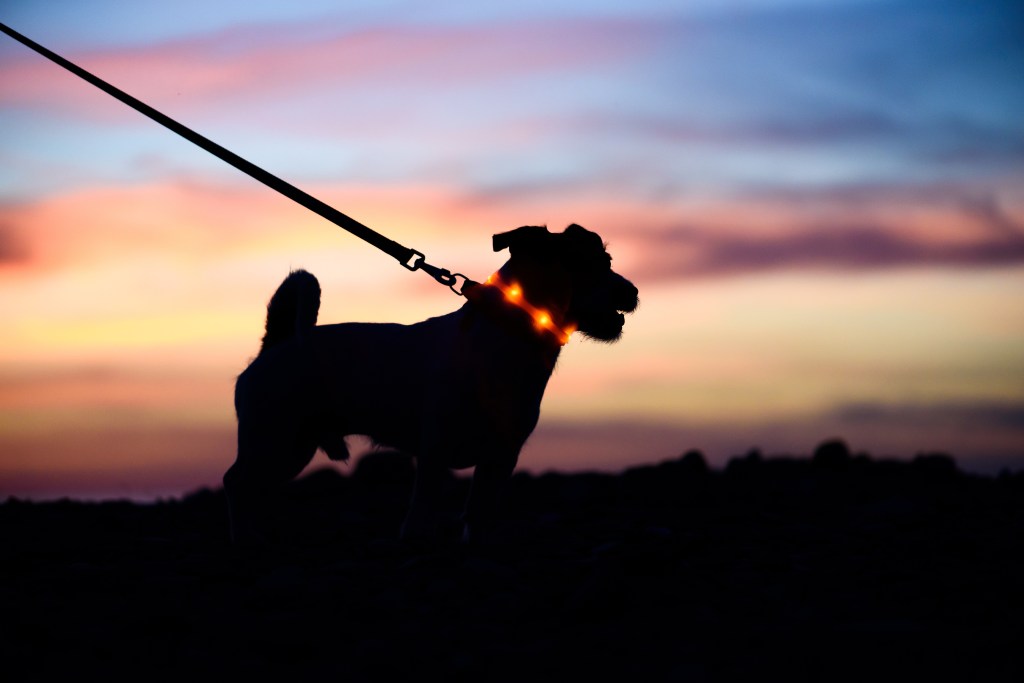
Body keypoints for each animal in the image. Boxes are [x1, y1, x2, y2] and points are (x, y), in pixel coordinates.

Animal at [228, 224, 634, 544]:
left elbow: (480, 514)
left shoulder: (500, 457)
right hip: (273, 440)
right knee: (237, 484)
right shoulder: (435, 452)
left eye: (609, 261)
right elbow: (422, 515)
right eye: (589, 263)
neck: (509, 333)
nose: (633, 292)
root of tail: (276, 343)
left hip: (289, 448)